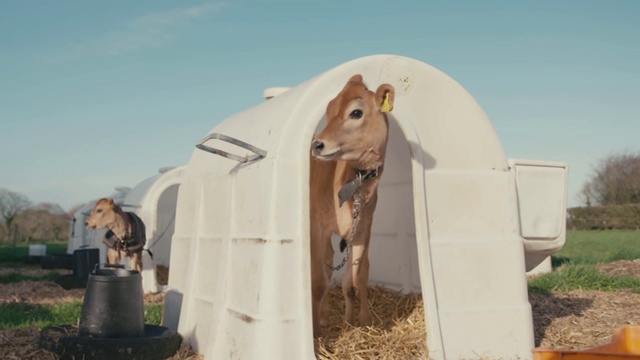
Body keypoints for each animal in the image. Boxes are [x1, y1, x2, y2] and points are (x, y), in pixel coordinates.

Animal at [308, 75, 392, 338]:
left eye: (356, 112)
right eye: (328, 109)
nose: (317, 145)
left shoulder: (363, 229)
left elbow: (352, 282)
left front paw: (352, 323)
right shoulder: (316, 228)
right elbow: (317, 283)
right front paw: (315, 333)